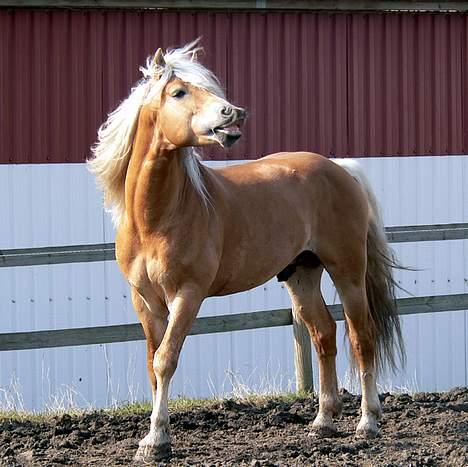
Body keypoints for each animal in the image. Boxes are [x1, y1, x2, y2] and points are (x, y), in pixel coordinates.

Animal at [88, 41, 406, 464]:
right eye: (179, 92)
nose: (233, 112)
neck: (157, 217)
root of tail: (339, 168)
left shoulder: (188, 295)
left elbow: (166, 359)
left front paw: (155, 441)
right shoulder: (145, 301)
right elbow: (152, 364)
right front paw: (156, 438)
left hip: (348, 272)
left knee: (361, 337)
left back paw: (367, 423)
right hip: (302, 275)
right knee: (323, 334)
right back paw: (323, 421)